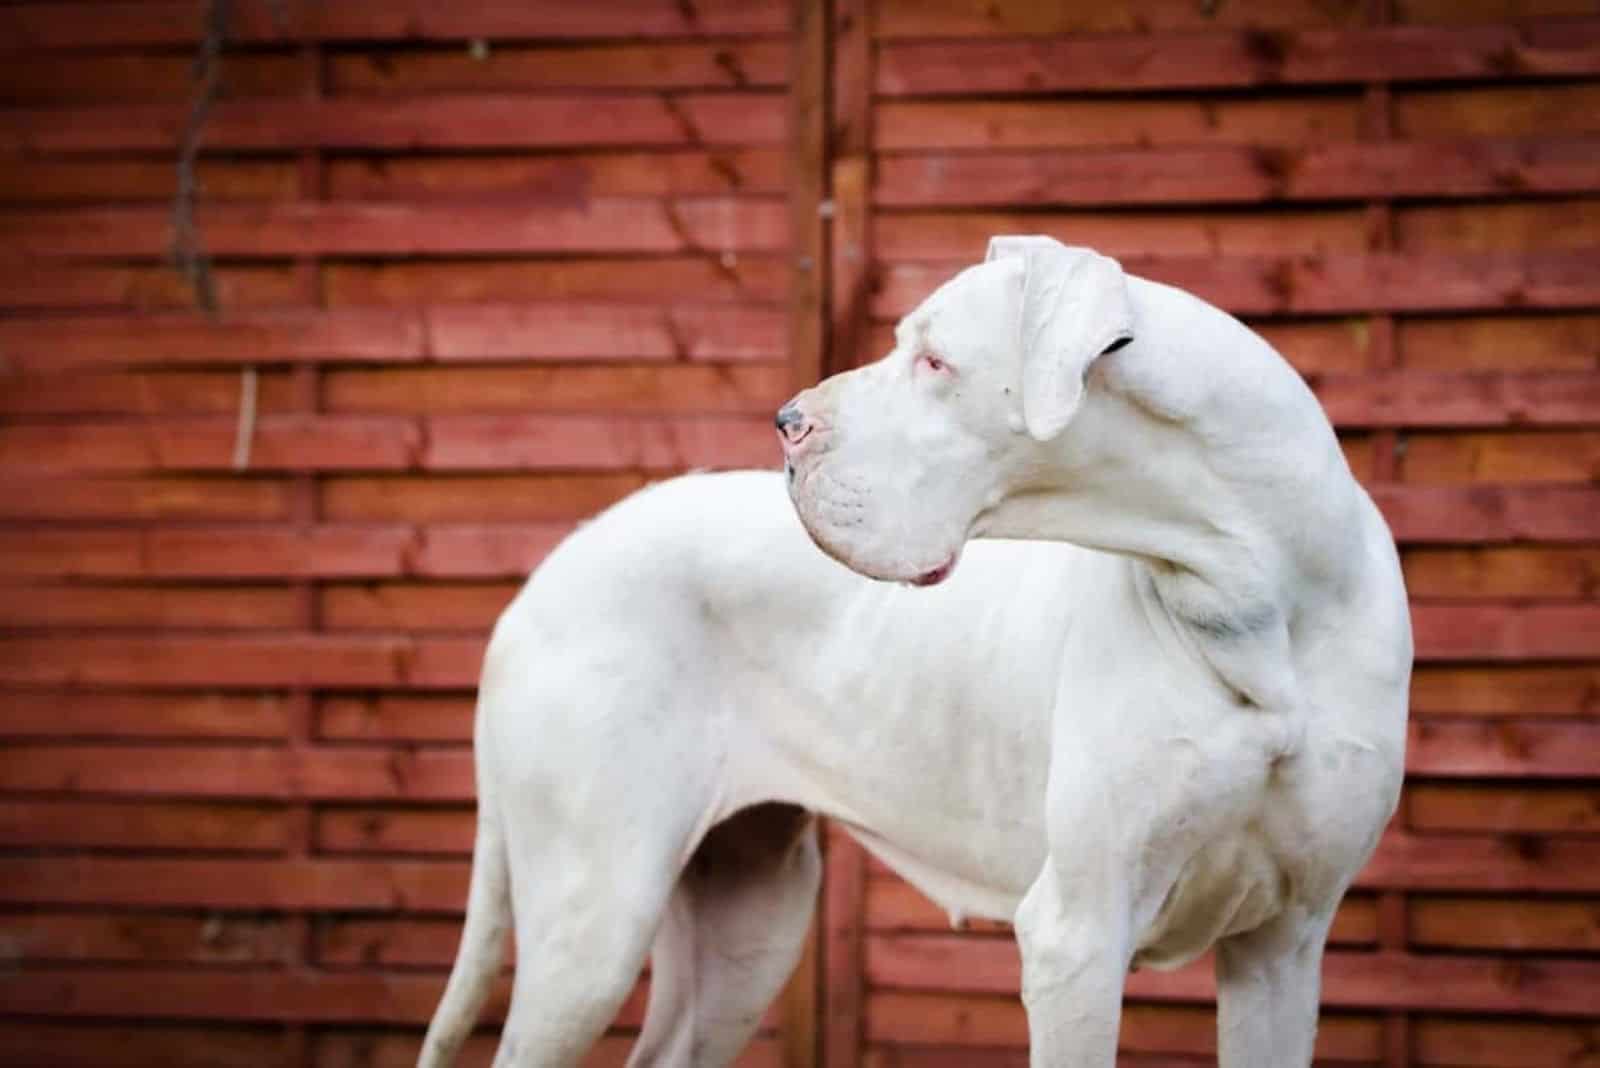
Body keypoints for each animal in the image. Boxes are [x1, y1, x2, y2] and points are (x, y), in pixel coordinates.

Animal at [419, 238, 1408, 1061]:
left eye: (936, 362)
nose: (788, 421)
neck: (1256, 603)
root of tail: (551, 568)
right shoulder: (1078, 936)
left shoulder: (1284, 946)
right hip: (592, 923)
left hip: (747, 923)